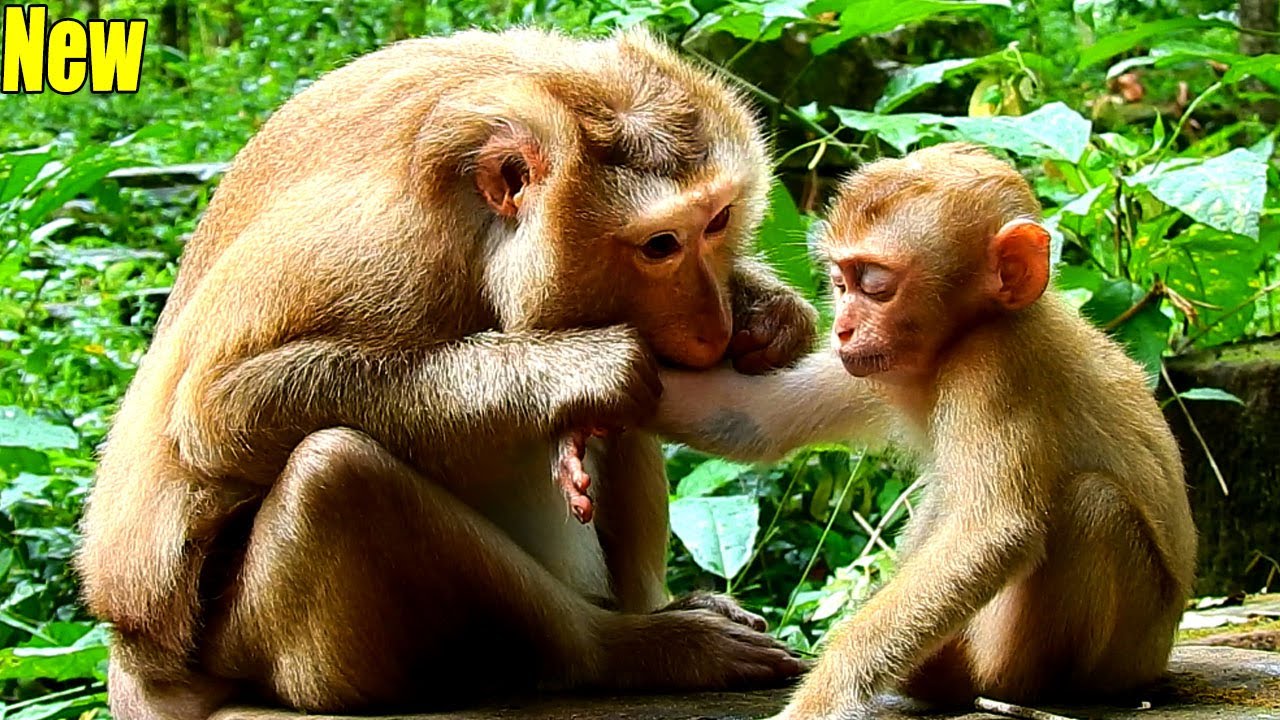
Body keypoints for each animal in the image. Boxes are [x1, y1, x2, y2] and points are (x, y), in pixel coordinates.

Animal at [74, 28, 819, 720]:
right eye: (660, 245)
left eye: (718, 220)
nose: (713, 326)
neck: (476, 233)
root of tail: (138, 666)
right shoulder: (378, 254)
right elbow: (219, 412)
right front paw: (579, 369)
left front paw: (770, 316)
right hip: (271, 651)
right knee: (333, 473)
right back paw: (630, 646)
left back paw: (657, 607)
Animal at [653, 143, 1197, 719]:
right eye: (840, 283)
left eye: (874, 284)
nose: (842, 327)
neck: (959, 339)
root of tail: (1155, 659)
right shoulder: (873, 365)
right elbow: (749, 417)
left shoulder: (994, 364)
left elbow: (989, 532)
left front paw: (823, 696)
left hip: (1101, 655)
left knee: (1094, 504)